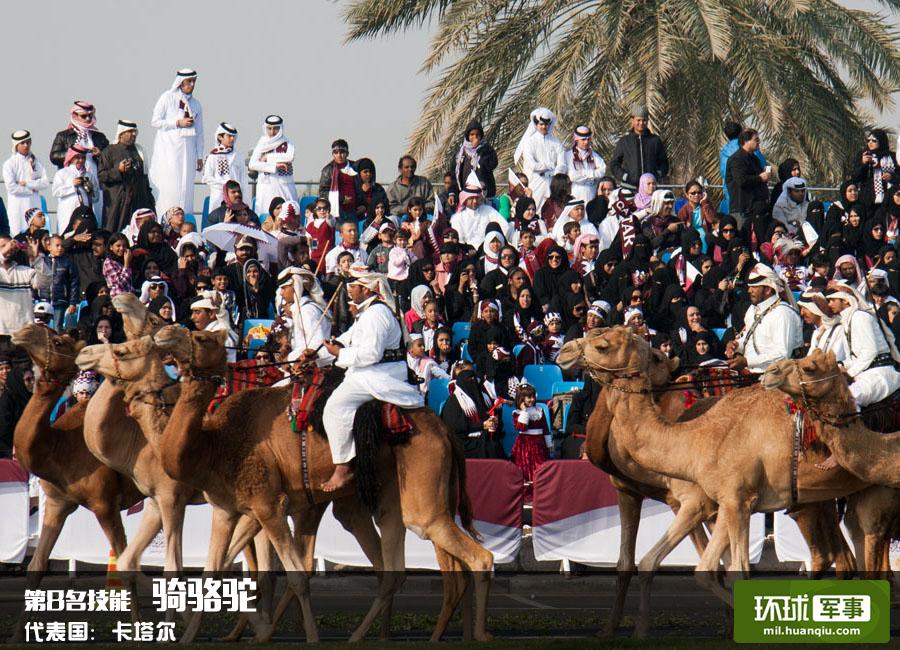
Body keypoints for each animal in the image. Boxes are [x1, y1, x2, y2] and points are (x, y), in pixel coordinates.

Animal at [7, 326, 144, 640]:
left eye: (58, 341)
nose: (23, 330)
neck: (60, 445)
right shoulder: (58, 503)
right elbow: (36, 566)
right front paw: (17, 636)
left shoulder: (105, 504)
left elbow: (126, 565)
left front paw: (139, 632)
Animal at [153, 326, 492, 640]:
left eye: (200, 338)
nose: (164, 333)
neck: (215, 442)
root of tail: (444, 430)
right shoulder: (229, 509)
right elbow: (214, 572)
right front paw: (191, 637)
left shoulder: (268, 503)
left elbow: (293, 575)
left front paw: (281, 634)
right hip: (392, 496)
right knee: (396, 569)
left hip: (423, 494)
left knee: (473, 556)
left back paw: (478, 634)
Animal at [560, 334, 856, 632]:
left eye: (602, 345)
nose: (565, 351)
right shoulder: (640, 493)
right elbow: (636, 562)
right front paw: (612, 630)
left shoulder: (699, 502)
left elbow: (698, 565)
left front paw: (641, 629)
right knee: (841, 557)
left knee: (835, 558)